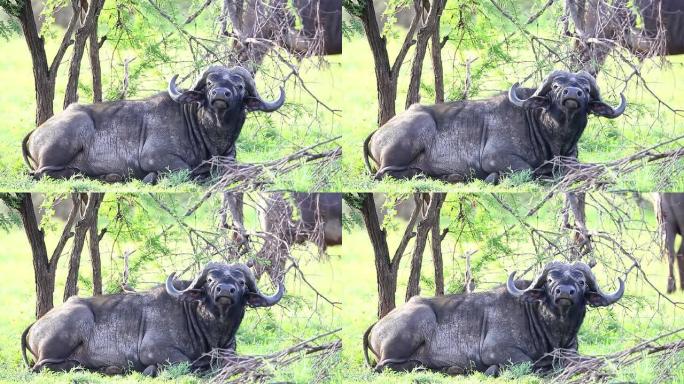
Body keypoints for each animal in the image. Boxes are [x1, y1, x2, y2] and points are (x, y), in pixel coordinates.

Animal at [20, 65, 284, 183]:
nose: (220, 93)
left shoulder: (229, 159)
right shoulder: (153, 156)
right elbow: (187, 170)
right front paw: (152, 177)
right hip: (73, 128)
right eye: (209, 83)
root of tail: (36, 131)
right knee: (42, 173)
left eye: (239, 86)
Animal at [21, 260, 284, 376]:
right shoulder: (153, 350)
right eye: (210, 280)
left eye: (241, 282)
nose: (225, 290)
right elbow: (186, 363)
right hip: (77, 317)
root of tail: (36, 324)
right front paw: (151, 370)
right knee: (43, 366)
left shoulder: (229, 351)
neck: (212, 330)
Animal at [364, 260, 624, 376]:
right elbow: (528, 363)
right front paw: (493, 370)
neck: (553, 330)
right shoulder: (494, 350)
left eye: (581, 282)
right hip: (419, 317)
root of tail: (378, 324)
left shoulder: (571, 351)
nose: (565, 292)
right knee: (385, 366)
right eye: (550, 280)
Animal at [366, 70, 628, 183]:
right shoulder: (494, 157)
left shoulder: (572, 158)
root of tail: (378, 131)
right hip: (419, 125)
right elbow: (528, 170)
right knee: (384, 174)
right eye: (555, 86)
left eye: (585, 89)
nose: (572, 93)